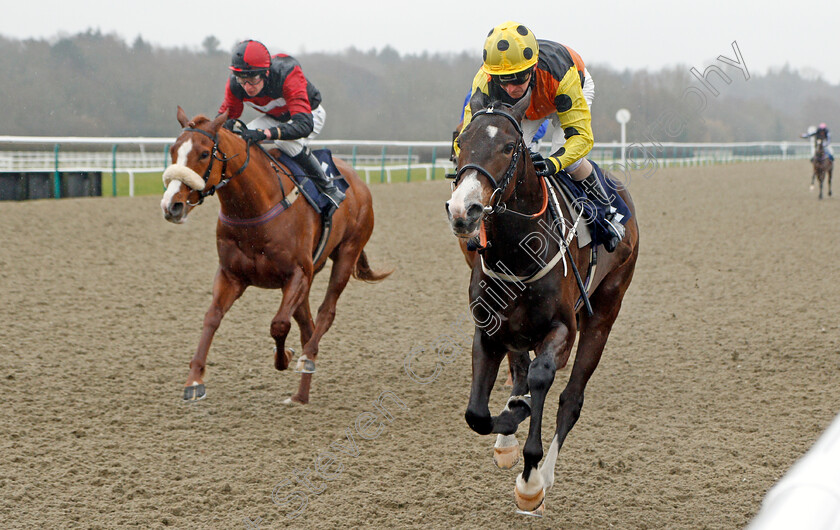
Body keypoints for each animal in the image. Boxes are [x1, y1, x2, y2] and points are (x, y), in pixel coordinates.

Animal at [161, 108, 390, 404]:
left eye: (202, 153)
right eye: (173, 151)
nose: (171, 205)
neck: (254, 208)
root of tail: (359, 182)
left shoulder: (296, 274)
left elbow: (279, 324)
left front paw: (286, 357)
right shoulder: (231, 275)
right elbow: (212, 317)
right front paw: (194, 381)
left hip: (347, 253)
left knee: (325, 314)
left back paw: (307, 358)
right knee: (307, 324)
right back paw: (301, 395)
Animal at [442, 93, 640, 512]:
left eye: (508, 147)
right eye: (459, 142)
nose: (464, 210)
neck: (518, 253)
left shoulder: (563, 329)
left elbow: (541, 378)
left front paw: (530, 478)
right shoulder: (488, 331)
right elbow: (477, 413)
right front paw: (509, 424)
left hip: (604, 313)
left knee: (571, 399)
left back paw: (543, 476)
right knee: (520, 373)